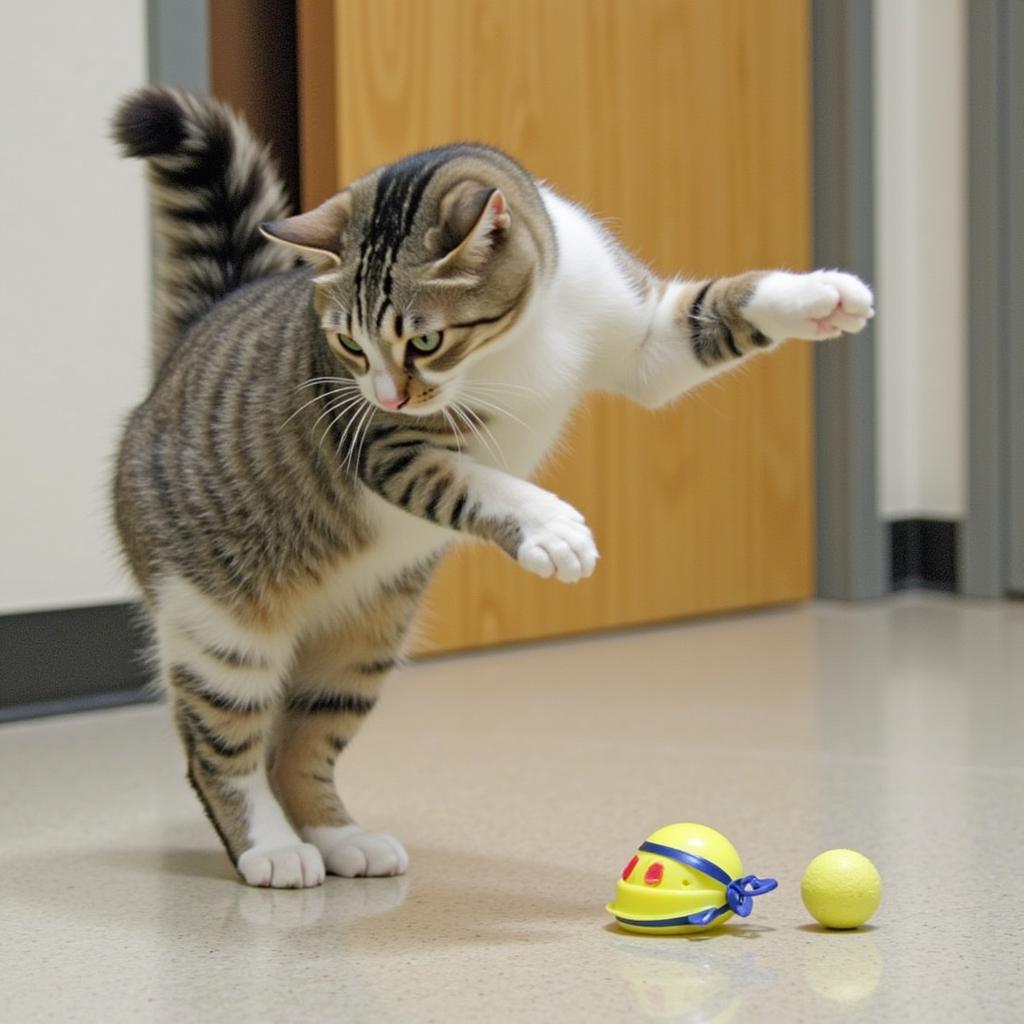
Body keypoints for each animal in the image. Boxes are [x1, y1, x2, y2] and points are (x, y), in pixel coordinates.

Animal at [112, 90, 872, 888]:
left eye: (423, 340)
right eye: (349, 345)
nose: (386, 394)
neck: (526, 336)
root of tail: (180, 353)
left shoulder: (642, 338)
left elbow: (717, 307)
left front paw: (820, 295)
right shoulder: (387, 447)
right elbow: (480, 481)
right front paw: (554, 532)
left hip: (363, 644)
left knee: (300, 747)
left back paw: (341, 838)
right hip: (219, 631)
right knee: (220, 751)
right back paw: (272, 849)